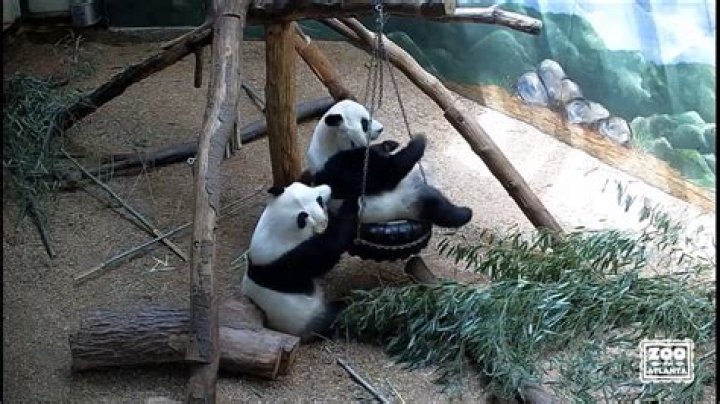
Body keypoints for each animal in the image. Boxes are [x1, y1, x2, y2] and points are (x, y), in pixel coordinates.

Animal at [240, 182, 358, 341]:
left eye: (308, 187)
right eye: (319, 200)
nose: (329, 187)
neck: (276, 228)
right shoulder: (290, 259)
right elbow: (329, 249)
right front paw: (351, 206)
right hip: (307, 317)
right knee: (338, 314)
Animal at [306, 99, 473, 228]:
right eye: (364, 122)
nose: (381, 129)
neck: (332, 142)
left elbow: (379, 152)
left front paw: (390, 144)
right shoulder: (338, 166)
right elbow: (385, 173)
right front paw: (418, 141)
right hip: (410, 203)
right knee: (441, 210)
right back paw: (466, 213)